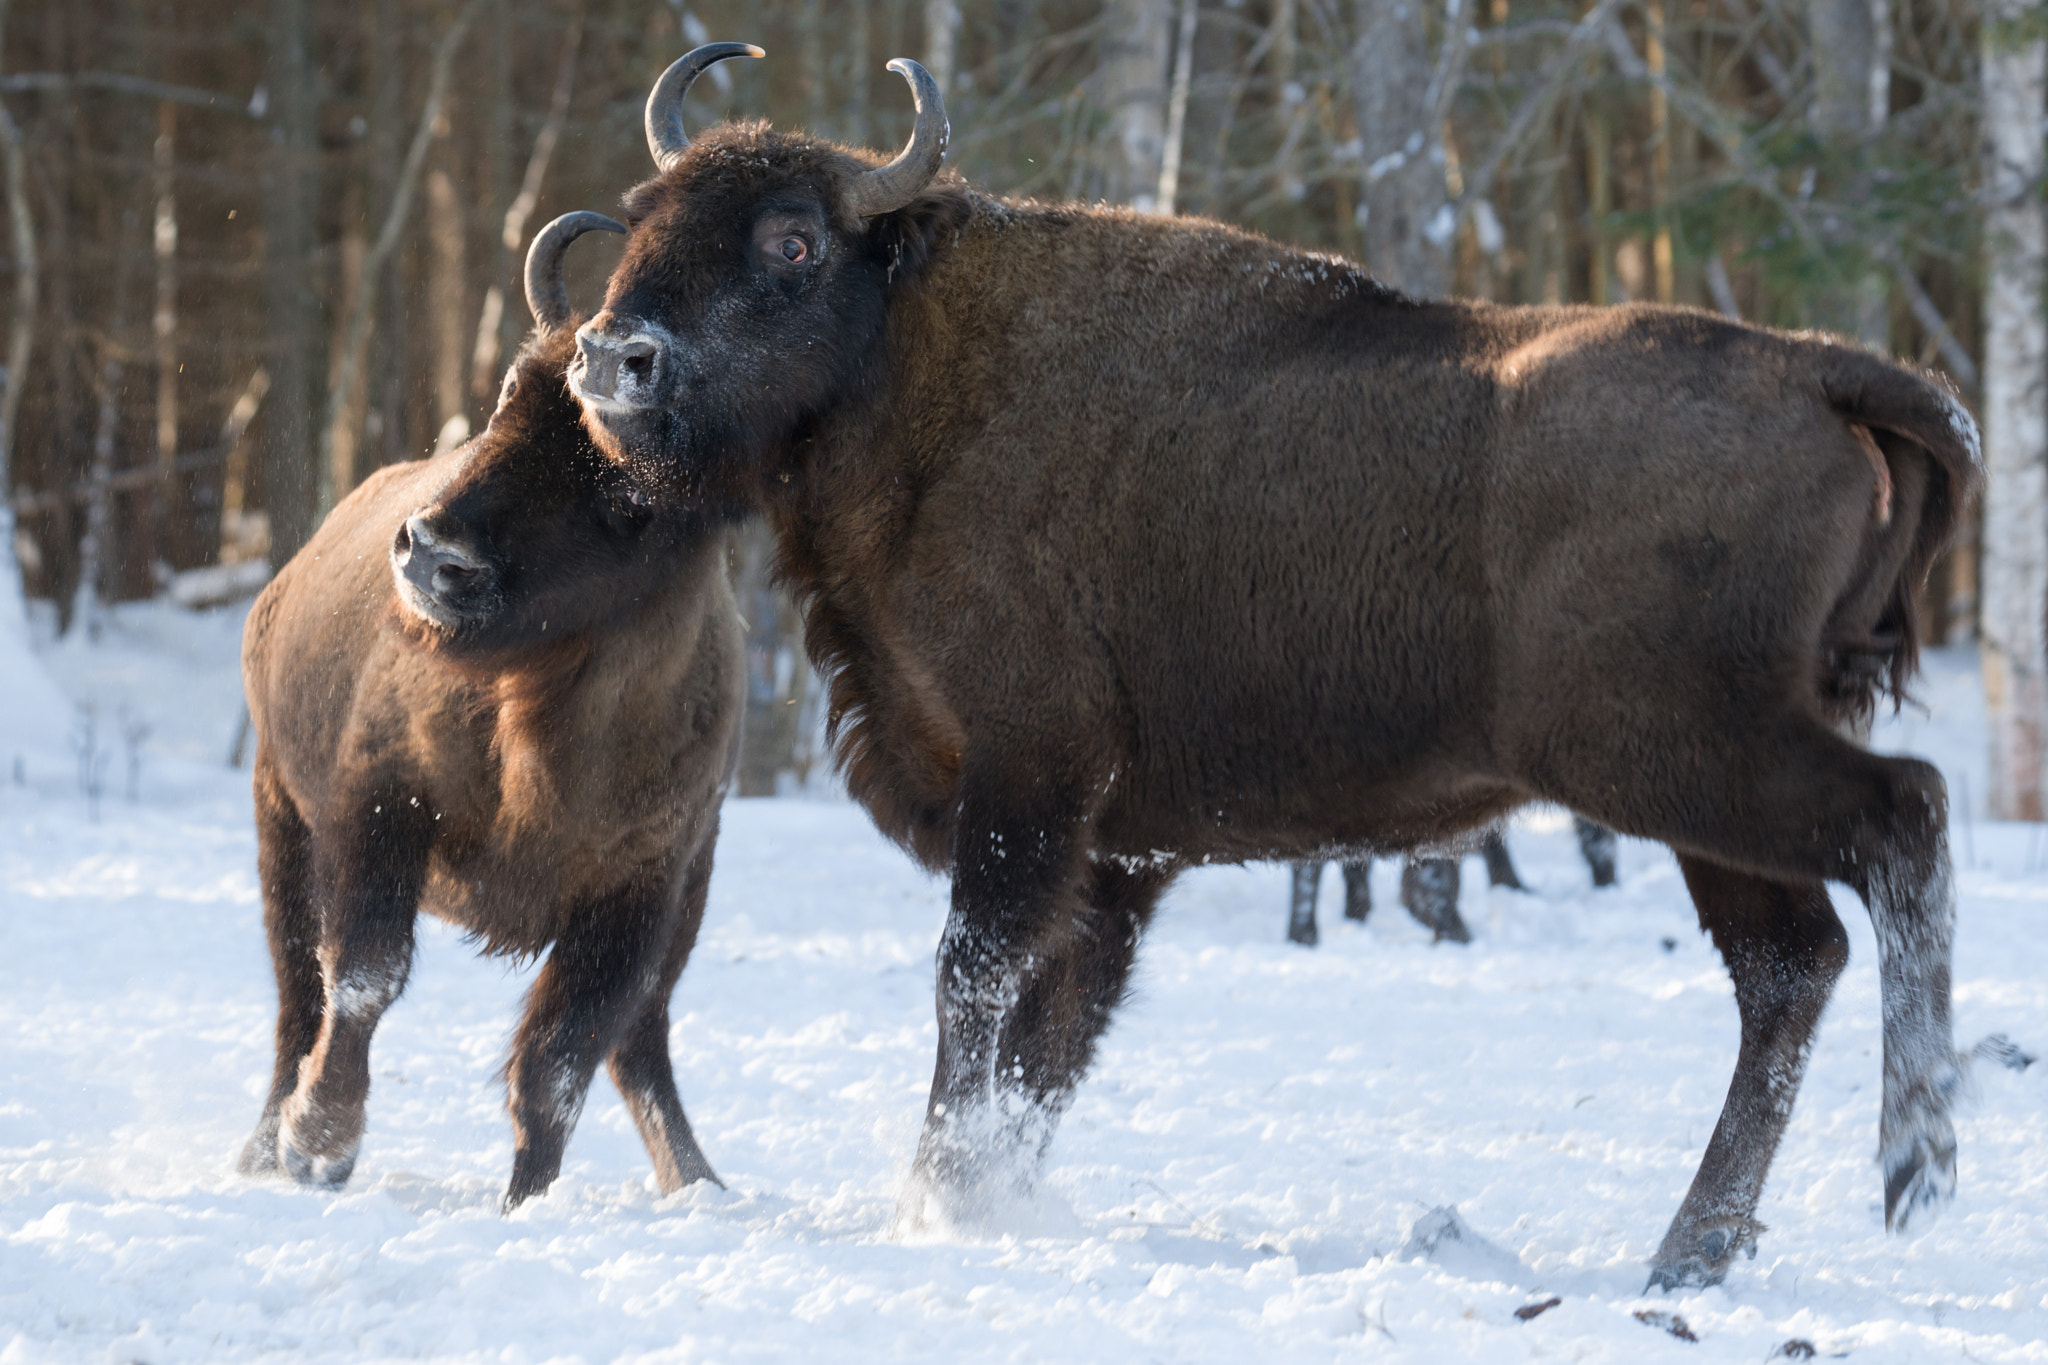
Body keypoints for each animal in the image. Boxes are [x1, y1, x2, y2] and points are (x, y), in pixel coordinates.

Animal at [235, 215, 745, 1219]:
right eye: (514, 390)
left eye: (633, 485)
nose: (434, 553)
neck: (541, 724)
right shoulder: (376, 813)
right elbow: (364, 979)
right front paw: (321, 1147)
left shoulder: (644, 886)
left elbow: (559, 1061)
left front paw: (526, 1203)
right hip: (282, 816)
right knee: (296, 998)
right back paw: (265, 1148)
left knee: (639, 1037)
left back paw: (698, 1179)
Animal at [565, 50, 1982, 1293]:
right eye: (640, 219)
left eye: (793, 240)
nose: (612, 356)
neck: (918, 357)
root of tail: (1815, 371)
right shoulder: (1114, 857)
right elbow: (1050, 1039)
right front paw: (983, 1197)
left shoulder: (1028, 779)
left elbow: (978, 982)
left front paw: (933, 1206)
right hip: (1699, 797)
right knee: (1789, 961)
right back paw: (1691, 1251)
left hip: (1671, 756)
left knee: (1899, 819)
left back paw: (1910, 1169)